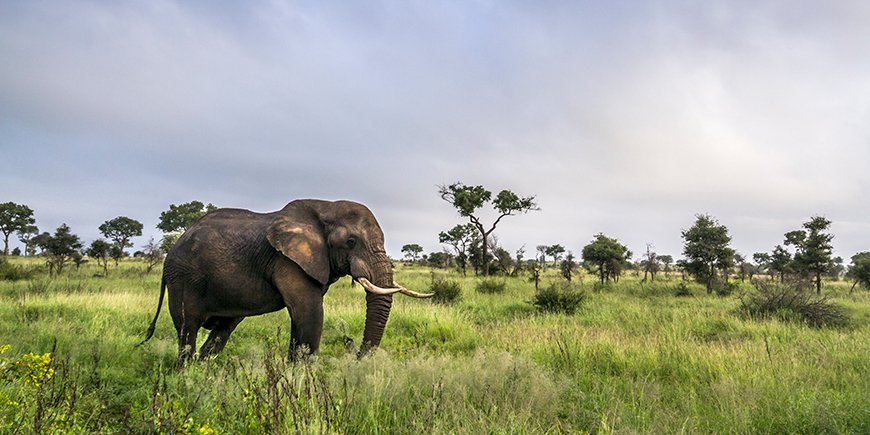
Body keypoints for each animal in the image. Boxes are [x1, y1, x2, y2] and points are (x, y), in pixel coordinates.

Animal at [139, 200, 432, 364]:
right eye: (351, 241)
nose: (353, 349)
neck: (325, 208)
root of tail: (170, 251)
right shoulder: (287, 260)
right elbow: (309, 312)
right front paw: (304, 378)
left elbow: (302, 316)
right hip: (184, 278)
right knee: (187, 328)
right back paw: (187, 373)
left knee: (223, 328)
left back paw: (204, 369)